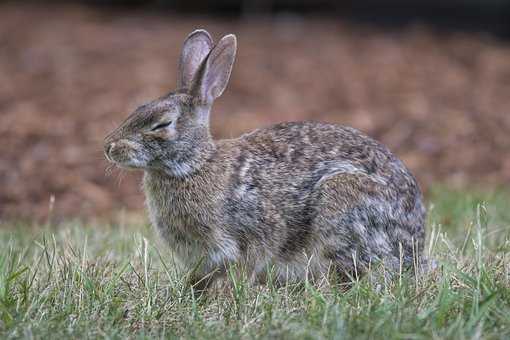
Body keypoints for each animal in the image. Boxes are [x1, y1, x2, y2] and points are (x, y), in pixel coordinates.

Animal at [103, 28, 426, 290]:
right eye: (139, 108)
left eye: (161, 125)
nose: (109, 147)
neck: (194, 165)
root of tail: (415, 244)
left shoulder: (251, 235)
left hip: (342, 203)